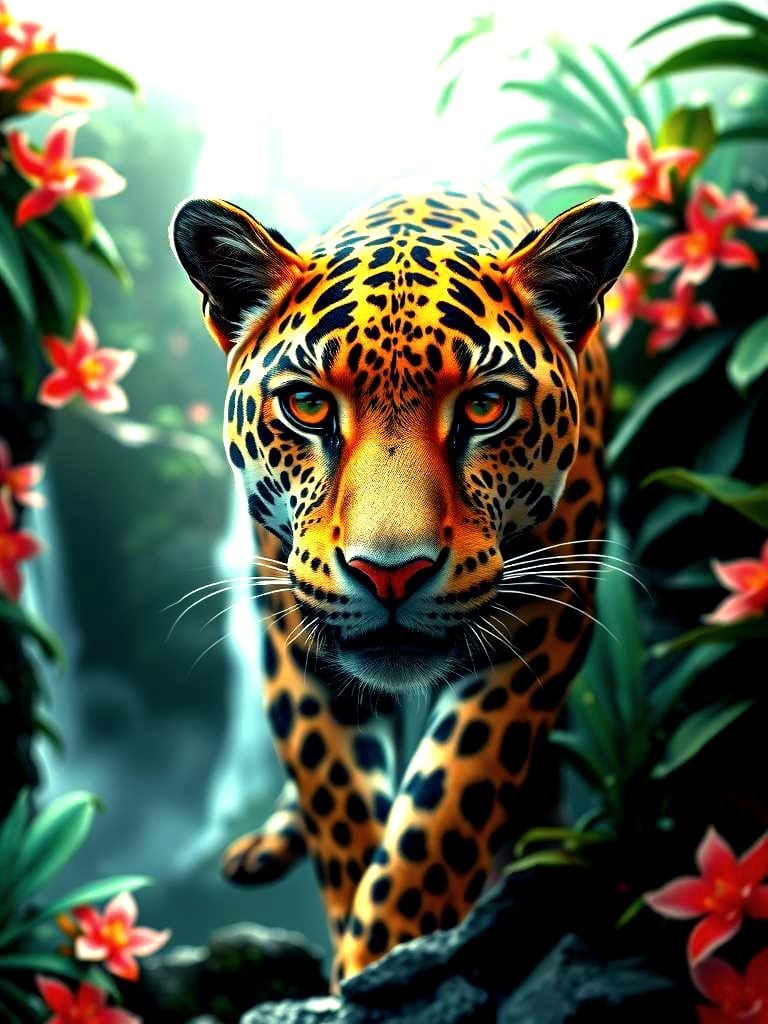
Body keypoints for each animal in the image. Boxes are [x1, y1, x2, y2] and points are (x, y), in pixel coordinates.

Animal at [170, 185, 636, 986]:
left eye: (485, 407)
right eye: (307, 406)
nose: (391, 573)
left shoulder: (542, 626)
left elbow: (447, 802)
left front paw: (386, 957)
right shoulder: (296, 640)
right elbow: (337, 800)